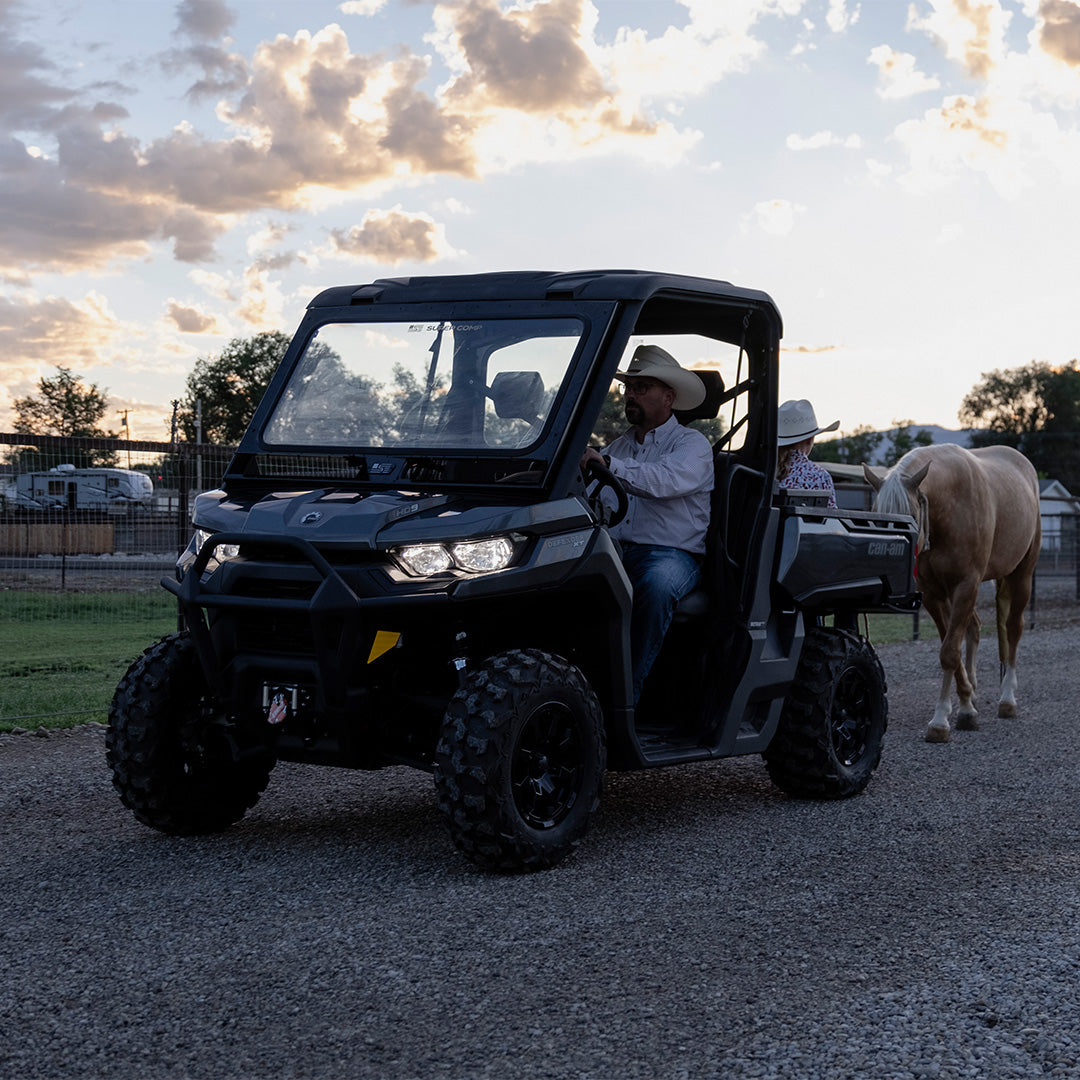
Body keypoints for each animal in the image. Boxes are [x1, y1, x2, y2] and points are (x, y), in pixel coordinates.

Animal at [864, 444, 1041, 743]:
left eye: (911, 518)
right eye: (877, 517)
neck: (950, 507)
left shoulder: (966, 584)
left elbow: (949, 652)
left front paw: (941, 721)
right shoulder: (933, 593)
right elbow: (951, 649)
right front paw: (964, 705)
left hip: (1022, 574)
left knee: (1013, 629)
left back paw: (1007, 699)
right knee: (975, 627)